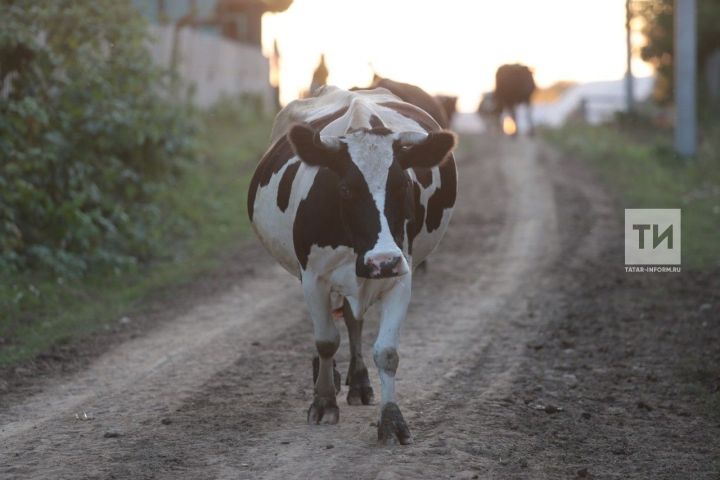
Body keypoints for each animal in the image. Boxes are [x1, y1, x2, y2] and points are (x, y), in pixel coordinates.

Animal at [248, 86, 458, 446]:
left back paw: (359, 382)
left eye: (403, 186)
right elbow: (326, 340)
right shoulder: (313, 276)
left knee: (352, 320)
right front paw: (323, 402)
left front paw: (391, 420)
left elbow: (387, 352)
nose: (382, 261)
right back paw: (327, 374)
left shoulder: (401, 275)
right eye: (345, 189)